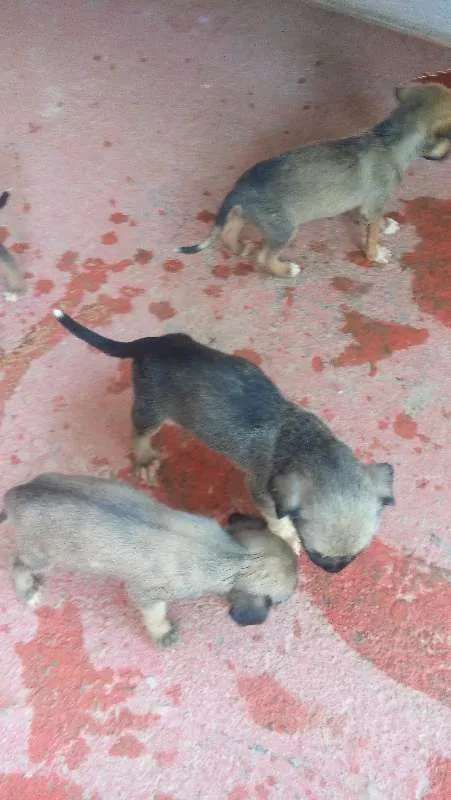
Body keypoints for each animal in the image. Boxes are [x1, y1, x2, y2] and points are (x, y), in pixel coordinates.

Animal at [2, 473, 297, 648]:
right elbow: (156, 615)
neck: (232, 554)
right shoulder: (146, 594)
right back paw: (27, 590)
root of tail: (16, 493)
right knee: (17, 563)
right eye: (282, 602)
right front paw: (163, 634)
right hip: (41, 555)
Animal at [53, 310, 395, 567]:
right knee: (138, 433)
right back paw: (144, 458)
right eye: (316, 554)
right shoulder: (262, 491)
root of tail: (148, 345)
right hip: (151, 410)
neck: (306, 443)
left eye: (356, 555)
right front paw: (288, 535)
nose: (335, 572)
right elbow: (277, 520)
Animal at [177, 83, 451, 276]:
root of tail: (239, 189)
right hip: (283, 228)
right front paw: (376, 254)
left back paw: (241, 248)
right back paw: (285, 270)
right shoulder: (373, 205)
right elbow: (372, 235)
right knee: (264, 258)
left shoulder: (367, 205)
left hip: (250, 214)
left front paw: (387, 226)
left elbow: (376, 220)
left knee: (228, 231)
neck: (391, 139)